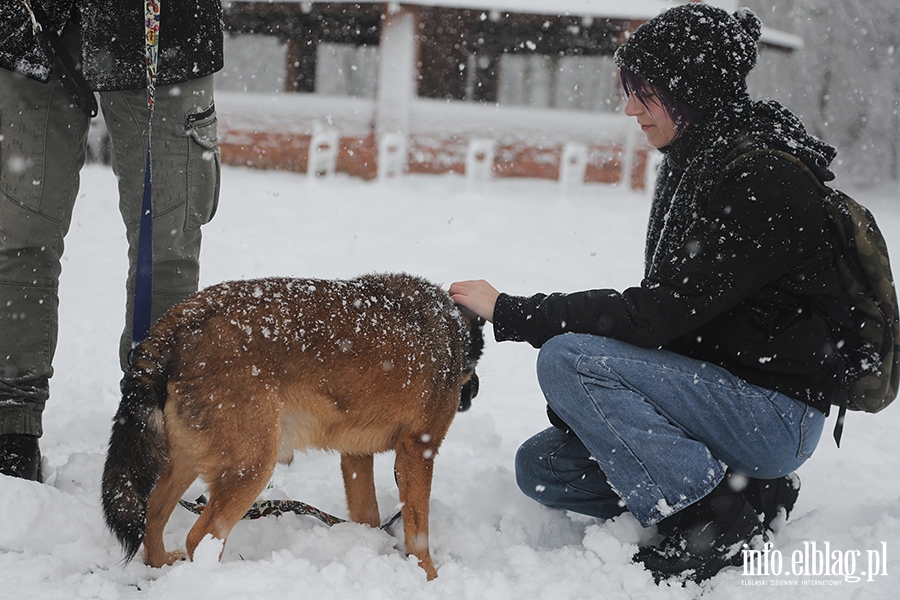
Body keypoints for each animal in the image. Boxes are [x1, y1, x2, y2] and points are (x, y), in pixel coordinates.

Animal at [101, 272, 482, 576]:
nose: (474, 392)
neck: (451, 326)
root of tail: (179, 321)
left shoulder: (356, 455)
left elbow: (368, 515)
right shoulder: (419, 450)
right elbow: (418, 533)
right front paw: (430, 578)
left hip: (190, 460)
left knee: (152, 516)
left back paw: (162, 564)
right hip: (251, 467)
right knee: (200, 537)